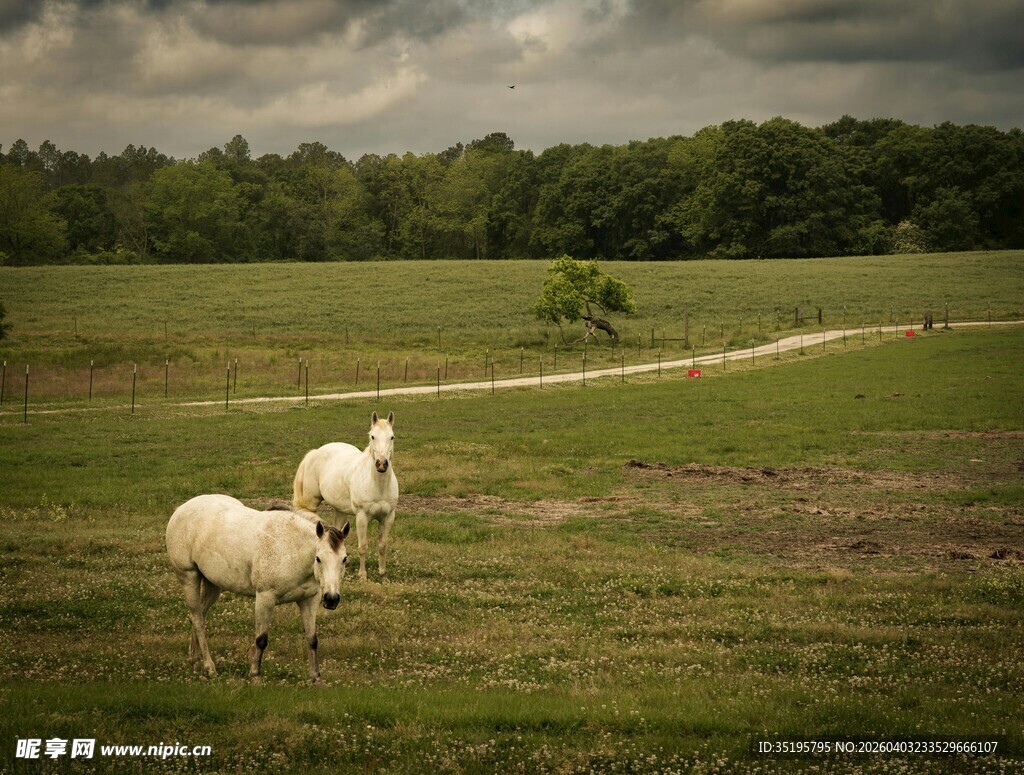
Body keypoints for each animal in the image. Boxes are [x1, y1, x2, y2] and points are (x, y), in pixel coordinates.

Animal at [166, 494, 350, 683]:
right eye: (318, 558)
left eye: (344, 559)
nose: (331, 599)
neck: (290, 549)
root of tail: (182, 508)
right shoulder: (265, 598)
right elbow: (261, 639)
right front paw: (255, 675)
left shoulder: (309, 600)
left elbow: (312, 639)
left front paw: (316, 678)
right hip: (189, 578)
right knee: (198, 619)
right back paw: (209, 667)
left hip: (213, 585)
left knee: (197, 616)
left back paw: (195, 660)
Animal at [292, 411, 399, 581]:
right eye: (372, 436)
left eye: (392, 437)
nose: (381, 464)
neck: (379, 485)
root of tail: (315, 452)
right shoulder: (362, 517)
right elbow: (363, 547)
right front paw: (363, 576)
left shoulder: (388, 517)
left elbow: (382, 545)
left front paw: (383, 575)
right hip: (310, 505)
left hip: (340, 511)